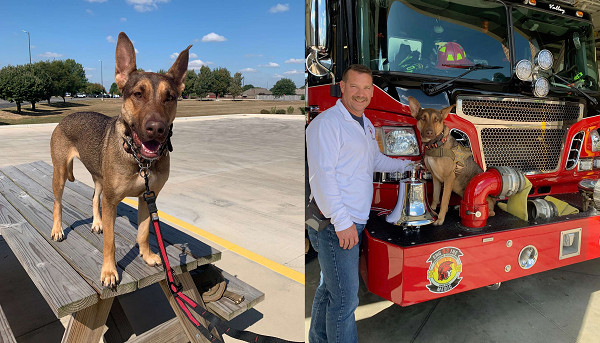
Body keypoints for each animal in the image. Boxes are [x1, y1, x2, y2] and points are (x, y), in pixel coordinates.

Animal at [50, 32, 190, 288]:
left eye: (170, 97)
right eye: (138, 94)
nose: (157, 129)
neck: (139, 160)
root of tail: (66, 117)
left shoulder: (148, 197)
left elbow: (143, 231)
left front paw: (147, 255)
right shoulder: (112, 201)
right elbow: (111, 242)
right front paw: (109, 272)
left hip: (99, 176)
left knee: (94, 197)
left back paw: (96, 223)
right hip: (61, 173)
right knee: (58, 203)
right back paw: (57, 229)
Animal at [408, 95, 496, 227]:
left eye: (436, 120)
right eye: (423, 118)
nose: (429, 132)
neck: (435, 145)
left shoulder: (448, 179)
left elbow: (444, 201)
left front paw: (440, 219)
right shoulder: (435, 178)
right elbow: (435, 197)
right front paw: (432, 210)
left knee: (490, 212)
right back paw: (460, 206)